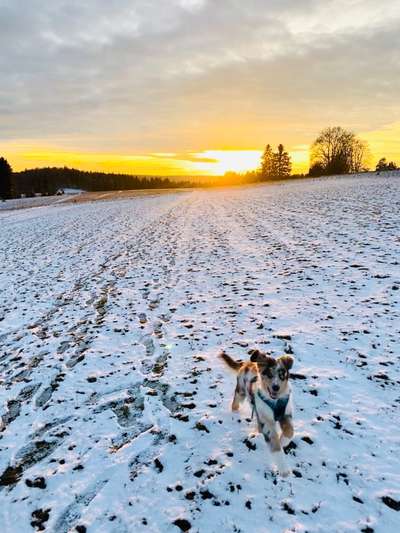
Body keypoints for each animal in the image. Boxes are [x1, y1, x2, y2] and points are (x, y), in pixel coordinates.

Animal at [219, 348, 294, 476]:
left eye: (282, 375)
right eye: (269, 374)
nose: (276, 387)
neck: (274, 401)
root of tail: (247, 363)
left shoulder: (286, 413)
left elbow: (290, 431)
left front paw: (283, 441)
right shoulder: (266, 421)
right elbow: (275, 445)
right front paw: (284, 470)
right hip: (241, 391)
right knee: (235, 404)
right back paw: (235, 414)